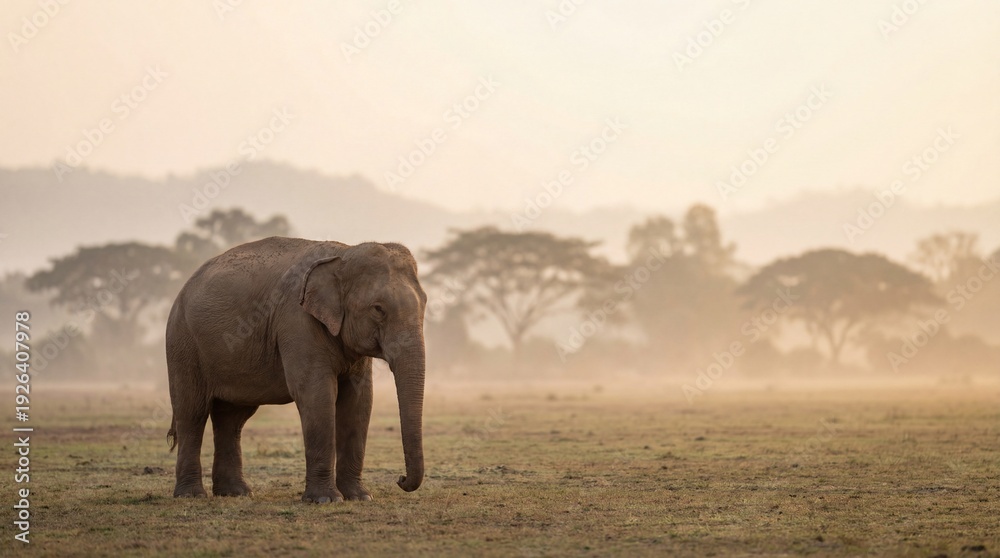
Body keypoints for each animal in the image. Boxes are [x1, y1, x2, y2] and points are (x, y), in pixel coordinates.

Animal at [165, 237, 427, 502]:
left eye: (424, 303)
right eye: (378, 309)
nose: (400, 479)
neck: (344, 253)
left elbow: (359, 400)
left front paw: (359, 497)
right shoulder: (297, 320)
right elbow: (316, 394)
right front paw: (325, 500)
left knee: (232, 418)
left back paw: (236, 493)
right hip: (183, 343)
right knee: (192, 413)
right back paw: (192, 495)